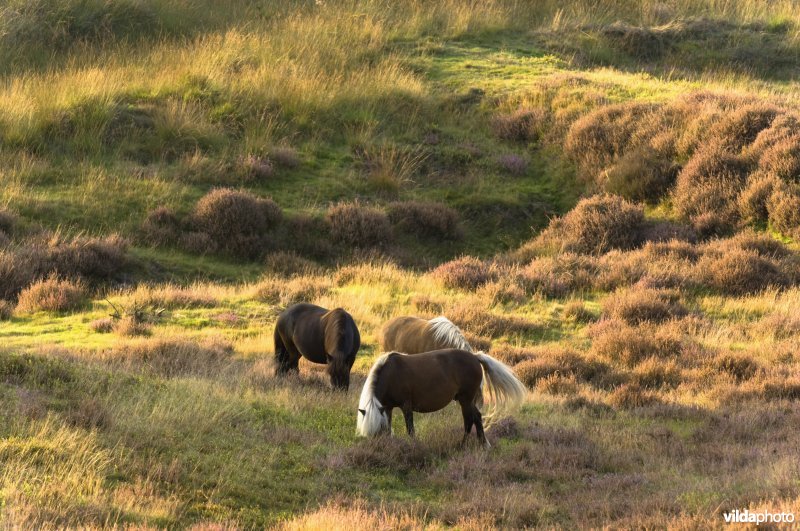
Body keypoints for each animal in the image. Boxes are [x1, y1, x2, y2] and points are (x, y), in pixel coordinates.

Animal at [356, 348, 526, 448]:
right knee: (477, 417)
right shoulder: (387, 407)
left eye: (377, 431)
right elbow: (389, 426)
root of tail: (475, 357)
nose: (378, 449)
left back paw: (462, 445)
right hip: (467, 400)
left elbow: (410, 429)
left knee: (469, 420)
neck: (391, 373)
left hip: (465, 400)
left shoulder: (406, 406)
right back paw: (483, 444)